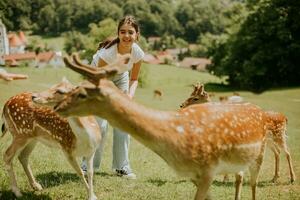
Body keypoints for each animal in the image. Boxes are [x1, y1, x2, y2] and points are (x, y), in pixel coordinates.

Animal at [41, 54, 276, 199]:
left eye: (82, 93)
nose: (58, 107)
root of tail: (259, 110)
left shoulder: (208, 170)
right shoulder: (194, 175)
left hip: (259, 155)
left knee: (253, 184)